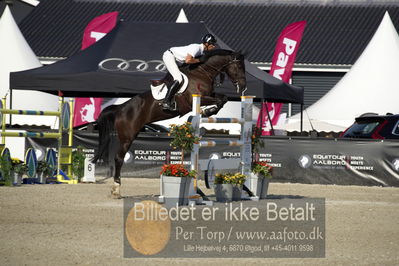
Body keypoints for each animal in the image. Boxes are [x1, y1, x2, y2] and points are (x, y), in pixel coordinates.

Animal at [92, 49, 247, 197]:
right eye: (239, 66)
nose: (243, 86)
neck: (202, 73)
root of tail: (120, 108)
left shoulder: (210, 95)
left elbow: (223, 98)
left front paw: (209, 111)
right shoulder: (198, 98)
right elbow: (220, 100)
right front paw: (207, 112)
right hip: (127, 137)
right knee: (119, 158)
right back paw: (116, 189)